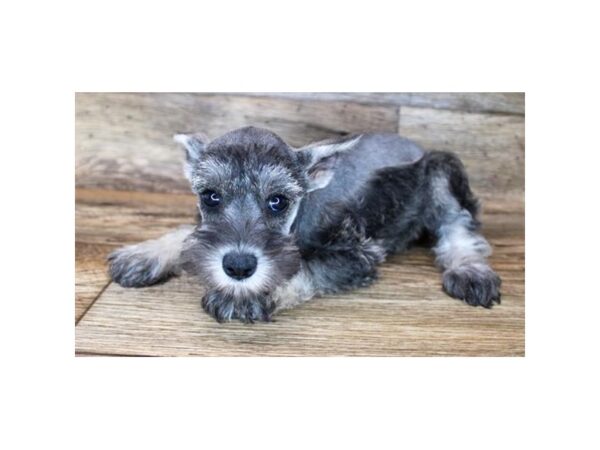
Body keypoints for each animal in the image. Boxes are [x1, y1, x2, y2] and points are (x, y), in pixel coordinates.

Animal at [109, 125, 502, 324]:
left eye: (278, 200)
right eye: (210, 196)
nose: (238, 266)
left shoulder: (356, 255)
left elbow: (304, 267)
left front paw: (251, 294)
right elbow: (188, 234)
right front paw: (145, 253)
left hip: (441, 170)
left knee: (458, 225)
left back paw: (470, 270)